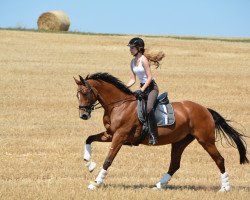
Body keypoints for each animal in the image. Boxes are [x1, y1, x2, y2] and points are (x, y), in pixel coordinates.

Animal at [73, 72, 248, 191]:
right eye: (77, 95)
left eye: (85, 93)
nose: (83, 115)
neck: (118, 105)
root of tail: (205, 109)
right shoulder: (110, 134)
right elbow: (89, 138)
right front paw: (89, 163)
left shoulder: (119, 137)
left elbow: (108, 159)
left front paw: (96, 183)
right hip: (180, 141)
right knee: (175, 164)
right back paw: (158, 185)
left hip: (205, 140)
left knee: (219, 159)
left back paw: (225, 188)